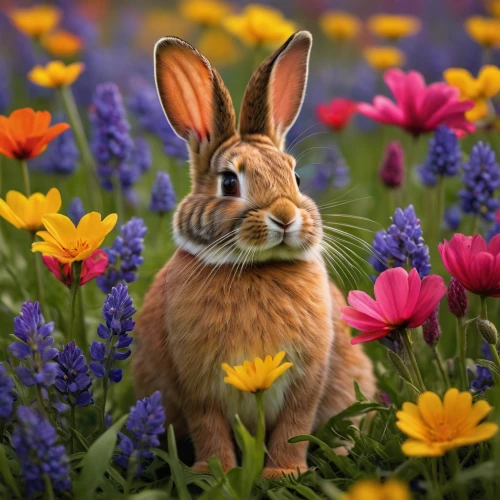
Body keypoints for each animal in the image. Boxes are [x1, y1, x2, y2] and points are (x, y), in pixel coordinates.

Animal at [133, 28, 376, 480]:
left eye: (296, 177)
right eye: (229, 182)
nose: (285, 216)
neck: (254, 267)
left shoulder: (305, 381)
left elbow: (294, 426)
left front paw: (283, 474)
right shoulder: (198, 386)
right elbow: (208, 426)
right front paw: (217, 473)